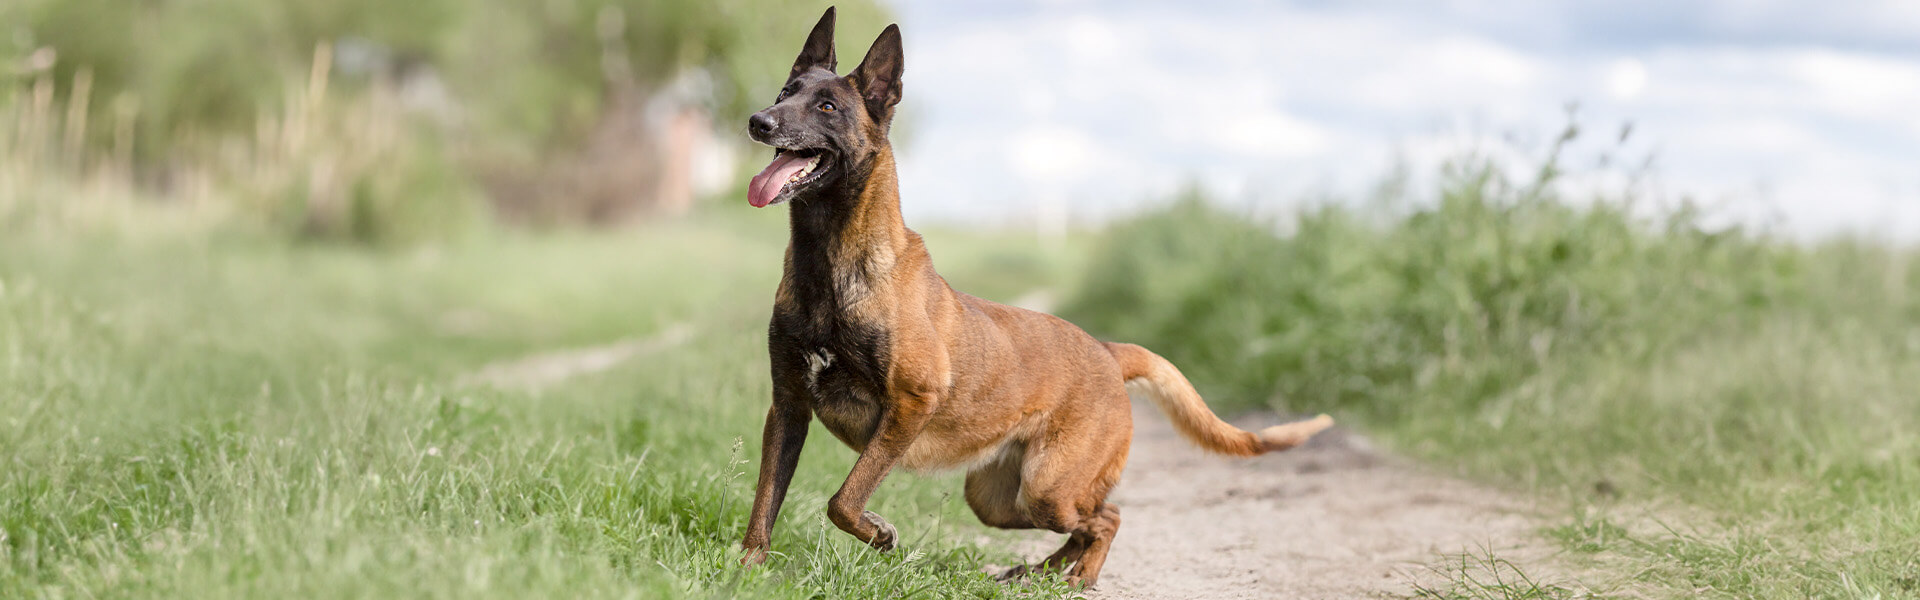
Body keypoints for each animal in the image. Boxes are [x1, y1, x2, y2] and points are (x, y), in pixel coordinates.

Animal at [733, 7, 1336, 584]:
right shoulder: (788, 407)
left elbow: (844, 499)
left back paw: (1076, 580)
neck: (829, 263)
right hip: (1000, 499)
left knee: (1107, 518)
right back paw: (1035, 572)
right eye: (786, 93)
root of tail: (1108, 352)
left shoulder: (911, 402)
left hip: (1049, 487)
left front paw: (878, 532)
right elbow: (767, 501)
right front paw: (746, 570)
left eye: (827, 106)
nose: (759, 121)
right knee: (1083, 524)